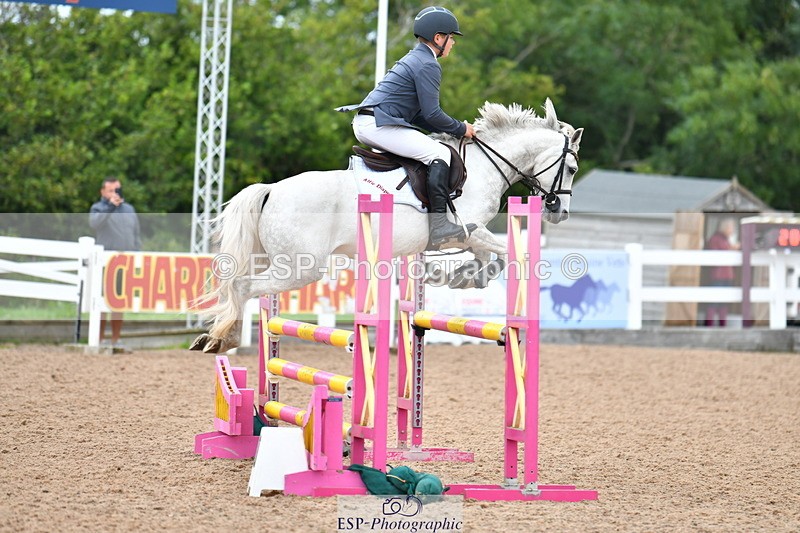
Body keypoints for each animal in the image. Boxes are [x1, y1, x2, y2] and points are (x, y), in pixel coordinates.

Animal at [191, 99, 584, 353]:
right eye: (572, 168)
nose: (560, 212)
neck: (484, 166)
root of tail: (272, 189)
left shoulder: (467, 236)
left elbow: (490, 260)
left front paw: (460, 277)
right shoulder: (468, 228)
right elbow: (510, 252)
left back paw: (213, 338)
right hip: (301, 268)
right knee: (243, 286)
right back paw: (222, 338)